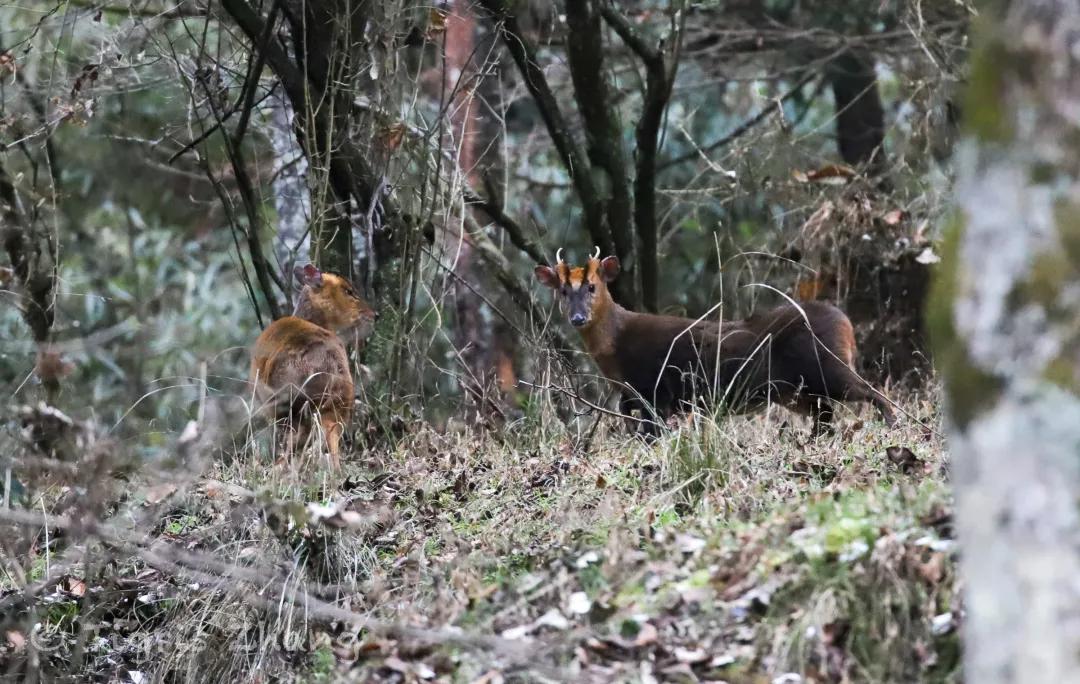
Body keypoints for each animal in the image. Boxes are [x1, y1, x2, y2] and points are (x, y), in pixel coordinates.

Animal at [250, 263, 378, 466]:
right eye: (348, 290)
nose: (376, 314)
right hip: (339, 403)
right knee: (329, 435)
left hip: (288, 402)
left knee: (298, 437)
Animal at [531, 248, 894, 434]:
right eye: (563, 292)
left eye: (592, 286)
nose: (578, 318)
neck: (615, 349)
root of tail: (845, 323)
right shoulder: (635, 397)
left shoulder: (655, 392)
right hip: (801, 390)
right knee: (827, 418)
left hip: (826, 366)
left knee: (874, 392)